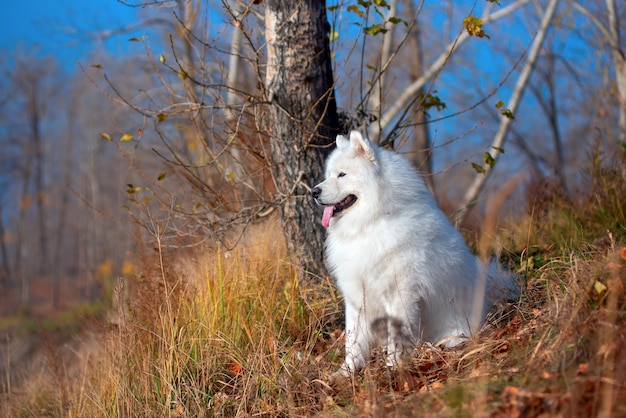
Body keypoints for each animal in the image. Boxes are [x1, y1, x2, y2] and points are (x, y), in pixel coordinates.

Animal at [310, 130, 510, 376]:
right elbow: (353, 341)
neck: (372, 221)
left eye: (342, 175)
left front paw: (393, 368)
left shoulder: (401, 293)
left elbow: (396, 338)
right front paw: (346, 373)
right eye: (328, 175)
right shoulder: (357, 297)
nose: (314, 191)